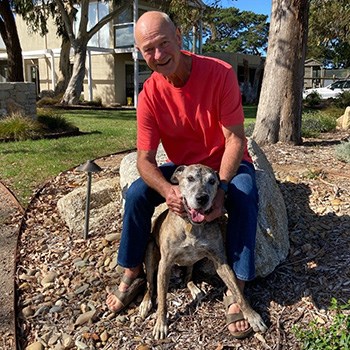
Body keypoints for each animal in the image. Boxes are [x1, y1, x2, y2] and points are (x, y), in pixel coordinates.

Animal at [138, 165, 266, 340]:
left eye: (212, 181)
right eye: (190, 178)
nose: (202, 198)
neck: (192, 225)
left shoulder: (221, 262)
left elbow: (238, 292)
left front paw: (252, 316)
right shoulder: (164, 265)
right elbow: (162, 299)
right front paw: (160, 324)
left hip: (193, 261)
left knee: (188, 277)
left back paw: (194, 289)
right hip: (151, 252)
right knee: (150, 284)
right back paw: (145, 303)